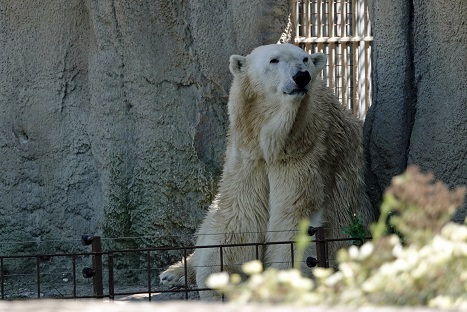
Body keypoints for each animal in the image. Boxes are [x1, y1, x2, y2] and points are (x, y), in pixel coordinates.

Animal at [159, 42, 374, 298]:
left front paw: (281, 282)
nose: (302, 76)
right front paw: (220, 278)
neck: (272, 144)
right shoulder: (248, 156)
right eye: (274, 60)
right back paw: (173, 273)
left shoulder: (305, 155)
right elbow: (241, 213)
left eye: (305, 59)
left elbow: (293, 218)